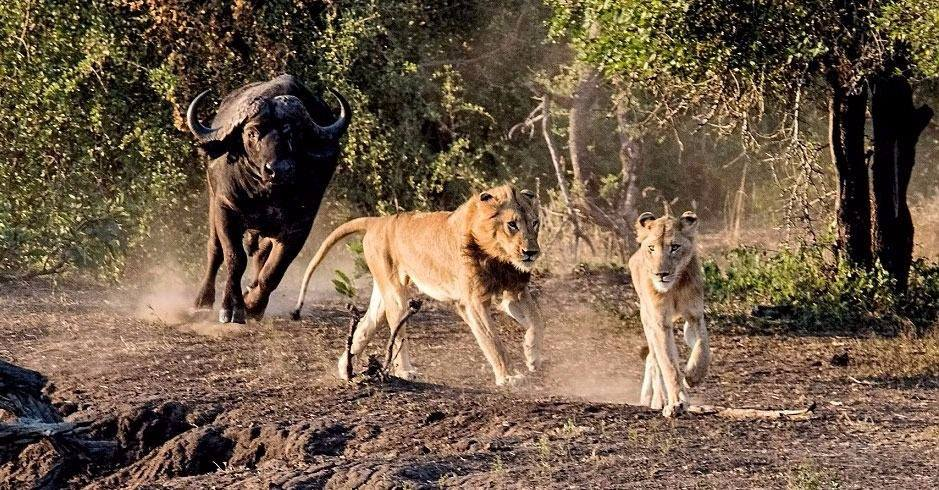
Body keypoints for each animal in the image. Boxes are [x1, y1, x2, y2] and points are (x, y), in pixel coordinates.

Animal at [187, 74, 352, 324]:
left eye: (292, 133)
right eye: (252, 133)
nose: (279, 170)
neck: (266, 193)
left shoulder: (300, 224)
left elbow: (274, 270)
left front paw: (253, 305)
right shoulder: (225, 208)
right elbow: (234, 259)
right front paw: (232, 308)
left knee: (260, 257)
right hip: (213, 203)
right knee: (215, 250)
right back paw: (202, 302)